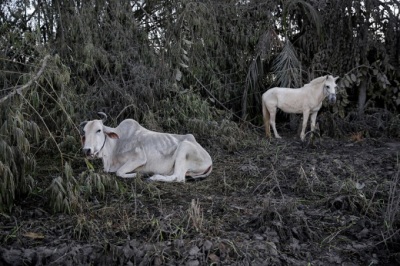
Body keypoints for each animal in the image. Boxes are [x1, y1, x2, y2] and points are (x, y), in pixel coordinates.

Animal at [79, 112, 214, 183]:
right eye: (84, 132)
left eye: (99, 130)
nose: (87, 150)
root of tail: (209, 159)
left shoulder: (139, 158)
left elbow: (119, 172)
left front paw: (138, 175)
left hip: (184, 148)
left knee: (178, 177)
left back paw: (154, 177)